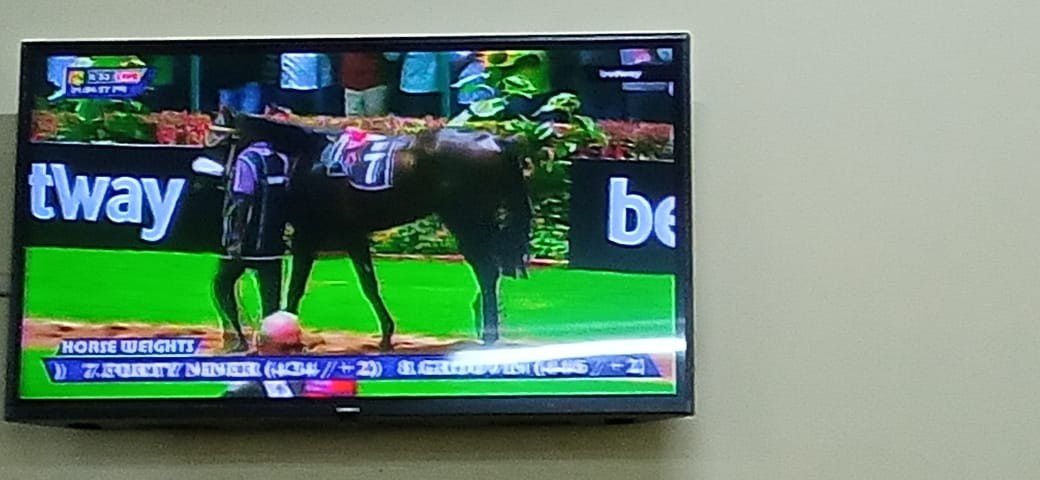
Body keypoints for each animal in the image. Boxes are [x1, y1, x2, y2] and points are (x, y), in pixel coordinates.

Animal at [226, 113, 533, 351]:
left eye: (228, 139)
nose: (230, 178)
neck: (309, 157)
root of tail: (500, 142)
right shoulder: (353, 235)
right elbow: (369, 285)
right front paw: (386, 334)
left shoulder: (307, 235)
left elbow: (296, 288)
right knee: (490, 272)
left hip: (466, 221)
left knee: (486, 271)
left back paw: (489, 334)